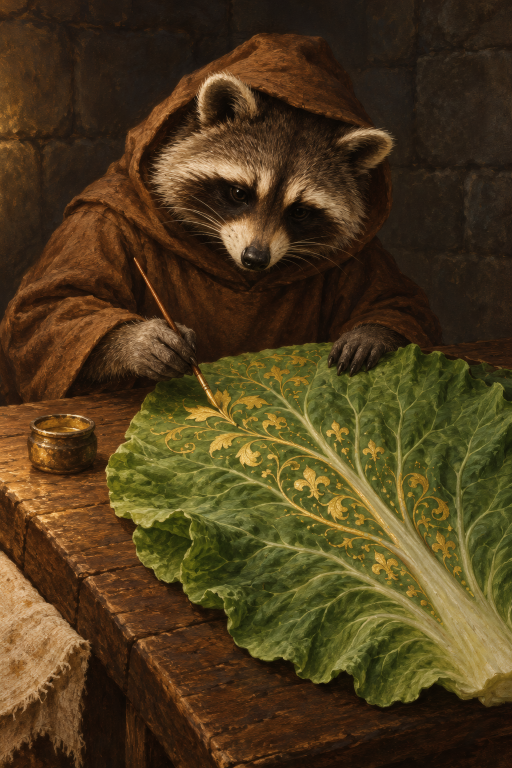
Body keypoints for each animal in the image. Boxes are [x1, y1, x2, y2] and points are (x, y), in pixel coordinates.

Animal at [79, 73, 407, 386]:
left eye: (299, 212)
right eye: (239, 193)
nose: (255, 259)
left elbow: (393, 300)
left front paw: (371, 333)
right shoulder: (102, 218)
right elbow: (77, 305)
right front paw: (139, 342)